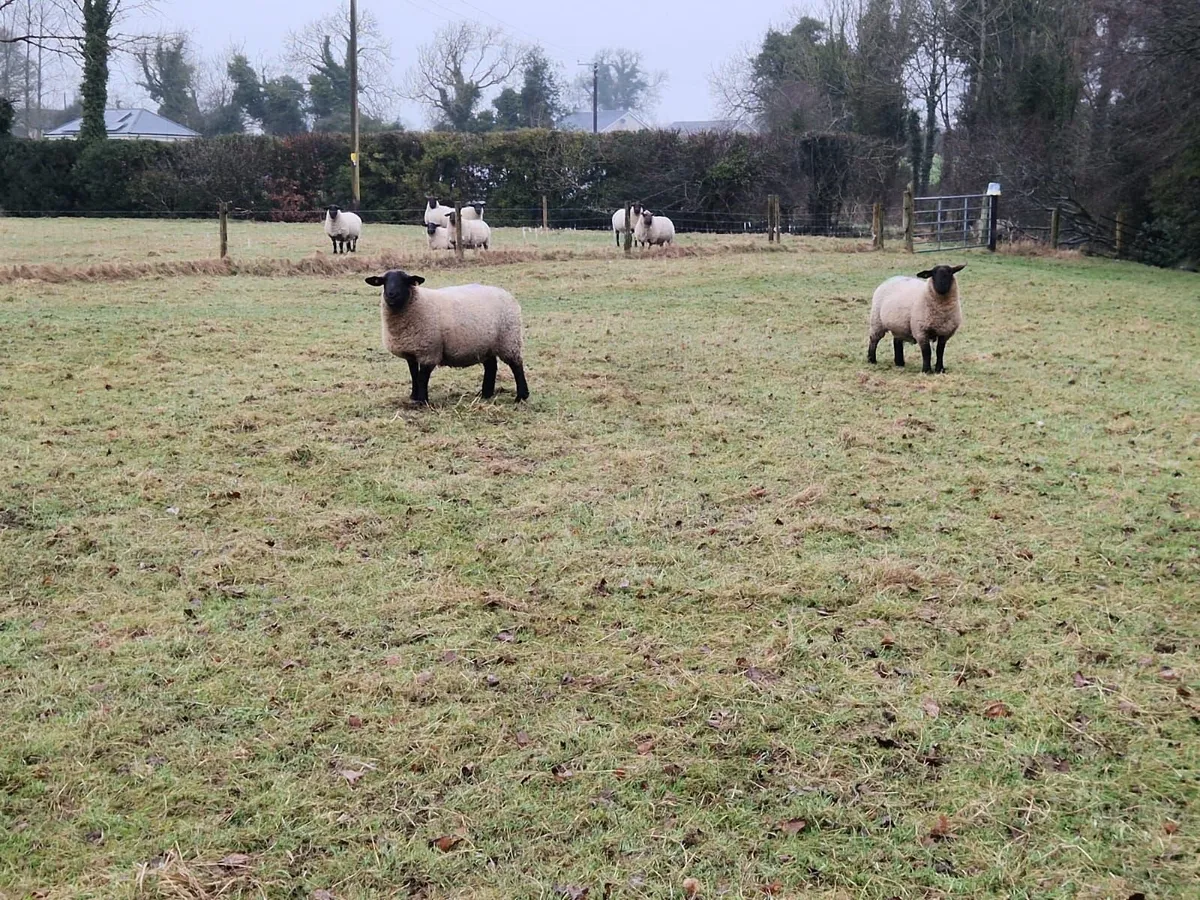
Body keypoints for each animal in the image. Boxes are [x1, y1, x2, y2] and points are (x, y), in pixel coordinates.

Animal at [365, 269, 528, 405]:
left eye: (405, 280)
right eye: (384, 281)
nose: (391, 294)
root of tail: (506, 293)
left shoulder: (429, 351)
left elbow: (422, 377)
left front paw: (422, 401)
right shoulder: (411, 352)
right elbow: (413, 374)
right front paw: (414, 396)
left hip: (509, 339)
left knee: (516, 365)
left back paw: (521, 396)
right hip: (486, 344)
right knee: (491, 366)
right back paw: (485, 394)